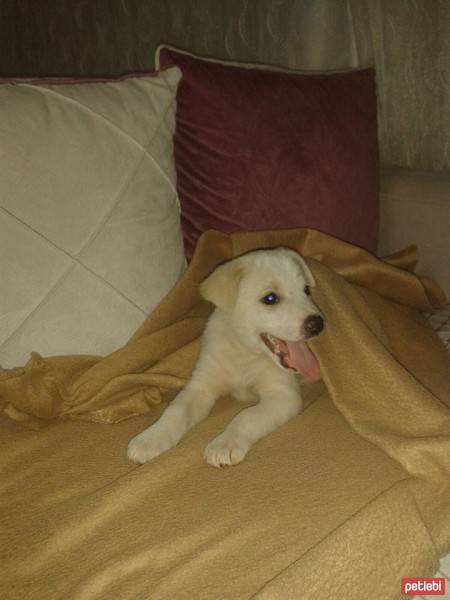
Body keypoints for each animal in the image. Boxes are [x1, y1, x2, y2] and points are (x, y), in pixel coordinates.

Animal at [126, 247, 324, 468]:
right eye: (270, 299)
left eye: (306, 290)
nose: (318, 324)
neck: (244, 353)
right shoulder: (200, 386)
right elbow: (175, 410)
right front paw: (150, 439)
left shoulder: (283, 395)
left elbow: (247, 416)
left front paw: (224, 444)